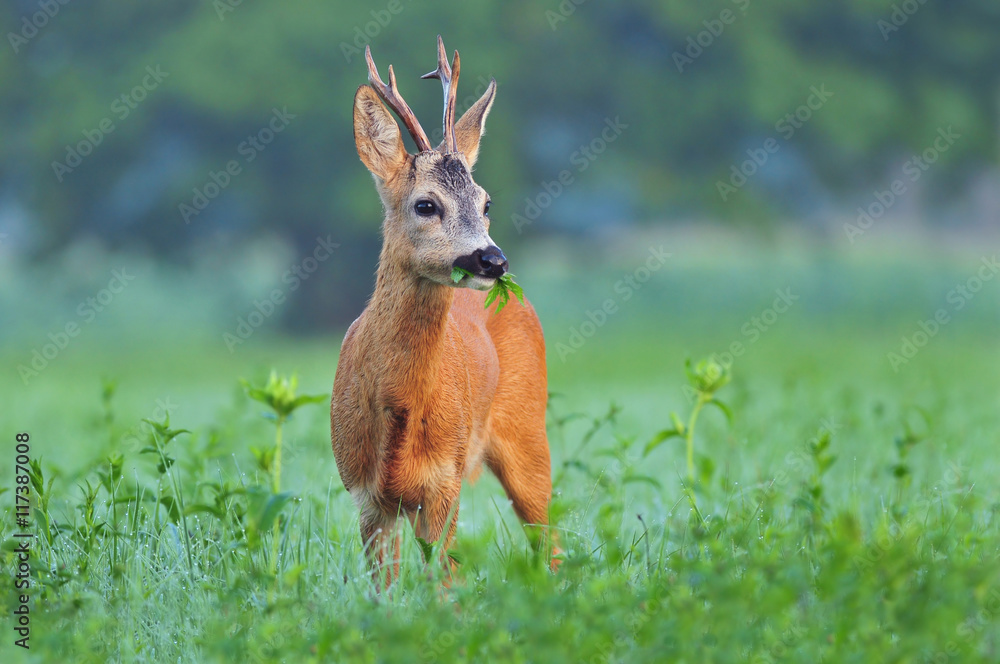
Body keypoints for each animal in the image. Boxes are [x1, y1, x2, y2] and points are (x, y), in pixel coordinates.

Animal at [331, 36, 557, 585]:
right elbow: (383, 591)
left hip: (528, 433)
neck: (399, 413)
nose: (493, 260)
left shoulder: (445, 485)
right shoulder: (366, 497)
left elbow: (446, 586)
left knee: (552, 538)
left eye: (486, 201)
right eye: (426, 205)